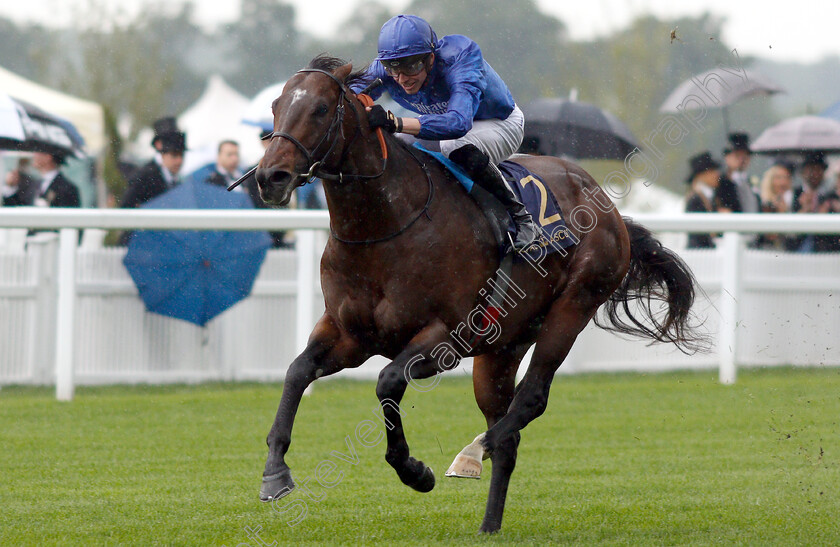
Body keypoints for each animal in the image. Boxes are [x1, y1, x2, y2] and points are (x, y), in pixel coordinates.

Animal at [251, 56, 704, 536]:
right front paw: (275, 472)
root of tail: (605, 200)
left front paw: (415, 470)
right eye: (277, 105)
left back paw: (472, 452)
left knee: (531, 399)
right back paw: (489, 523)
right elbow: (297, 372)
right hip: (503, 346)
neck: (385, 226)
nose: (271, 177)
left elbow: (388, 381)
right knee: (510, 432)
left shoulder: (444, 337)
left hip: (573, 307)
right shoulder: (349, 334)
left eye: (320, 109)